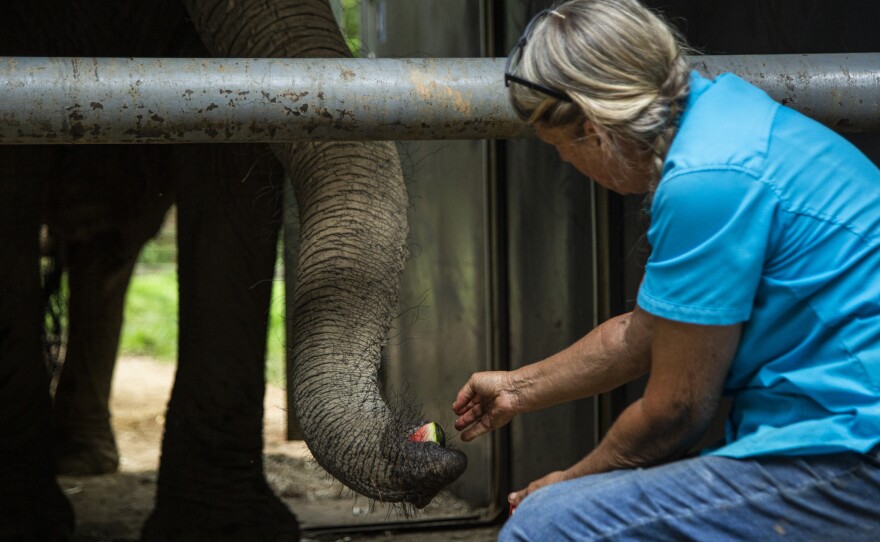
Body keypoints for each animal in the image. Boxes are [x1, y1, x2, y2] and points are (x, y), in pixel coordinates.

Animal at [0, 2, 468, 540]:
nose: (438, 445)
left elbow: (230, 157)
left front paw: (224, 529)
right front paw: (24, 523)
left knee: (109, 238)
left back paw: (84, 459)